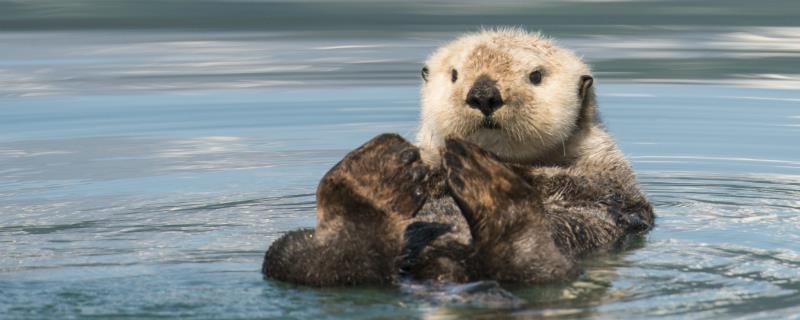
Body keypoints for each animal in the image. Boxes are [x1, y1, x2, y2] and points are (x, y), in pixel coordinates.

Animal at [264, 28, 656, 286]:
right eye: (454, 74)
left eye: (536, 76)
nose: (483, 93)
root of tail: (443, 268)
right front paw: (426, 169)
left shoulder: (611, 178)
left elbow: (580, 186)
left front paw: (507, 170)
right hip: (290, 250)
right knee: (320, 265)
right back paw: (371, 179)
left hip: (554, 266)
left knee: (532, 266)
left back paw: (489, 186)